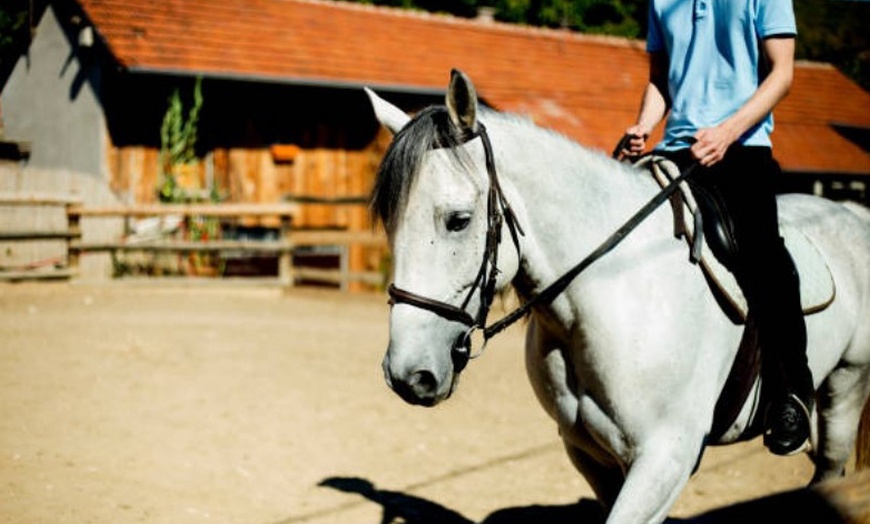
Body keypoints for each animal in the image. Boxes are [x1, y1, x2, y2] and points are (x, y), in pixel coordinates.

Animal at [366, 70, 870, 524]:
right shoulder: (589, 453)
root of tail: (851, 212)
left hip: (846, 386)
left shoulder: (667, 457)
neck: (612, 295)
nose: (407, 374)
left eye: (458, 220)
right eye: (391, 221)